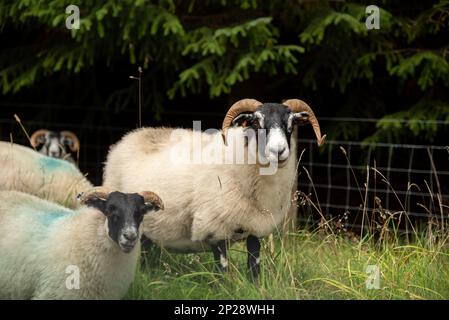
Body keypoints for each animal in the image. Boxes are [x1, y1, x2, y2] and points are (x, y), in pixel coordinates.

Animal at [103, 99, 324, 278]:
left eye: (291, 123)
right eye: (255, 122)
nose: (278, 150)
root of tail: (130, 136)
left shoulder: (254, 229)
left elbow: (254, 268)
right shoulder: (216, 227)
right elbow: (223, 273)